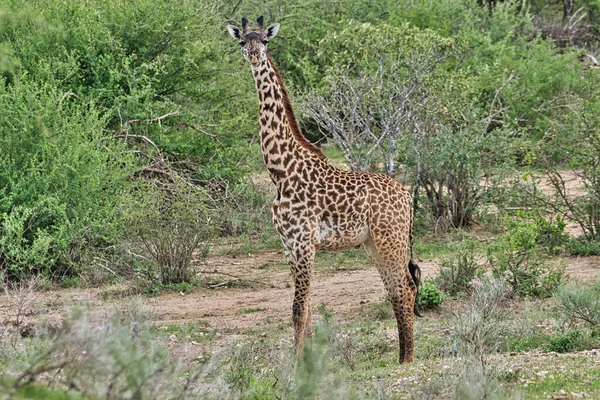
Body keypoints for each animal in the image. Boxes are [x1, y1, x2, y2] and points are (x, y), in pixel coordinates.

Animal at [227, 17, 420, 364]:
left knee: (405, 287)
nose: (254, 54)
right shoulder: (289, 245)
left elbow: (297, 308)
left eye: (266, 40)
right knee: (395, 289)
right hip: (373, 243)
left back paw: (408, 360)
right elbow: (306, 308)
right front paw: (307, 360)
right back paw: (401, 357)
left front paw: (296, 364)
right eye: (242, 41)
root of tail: (407, 196)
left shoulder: (304, 242)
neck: (280, 171)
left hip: (391, 239)